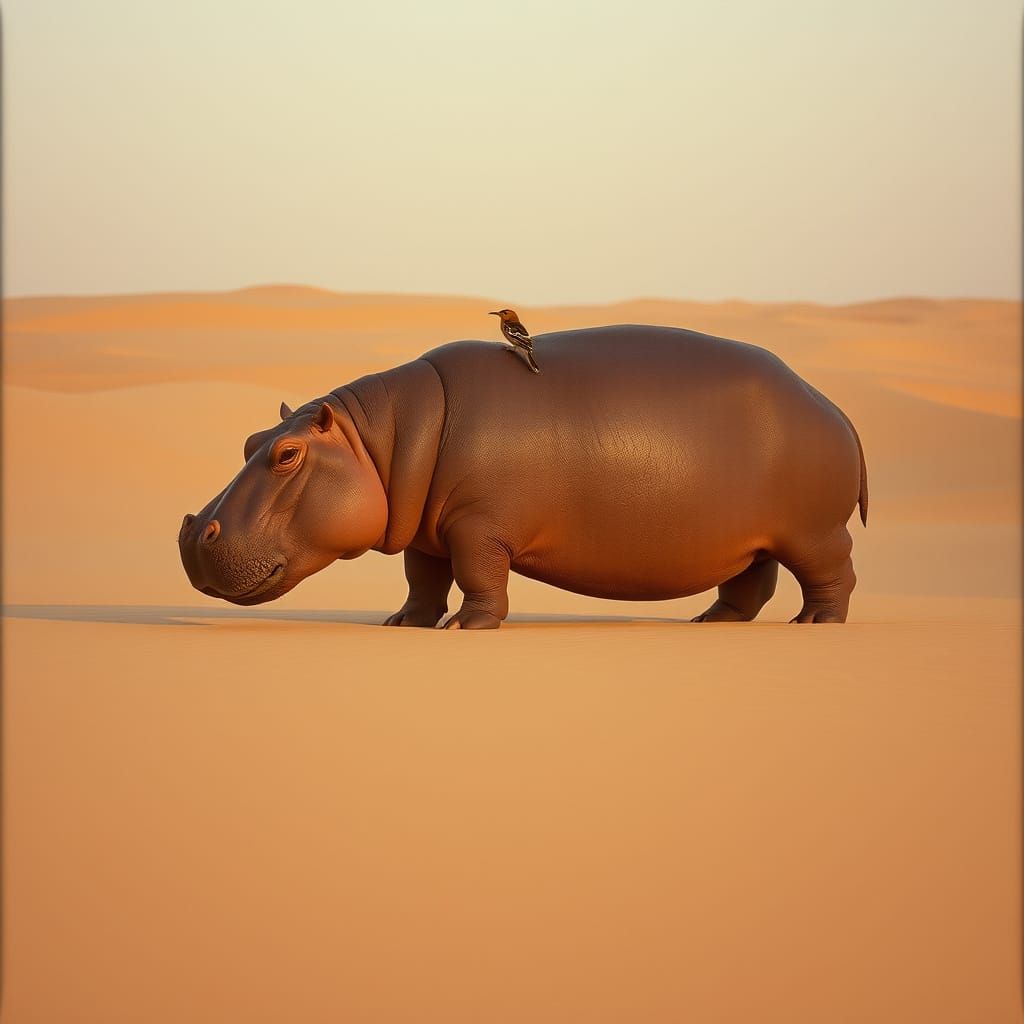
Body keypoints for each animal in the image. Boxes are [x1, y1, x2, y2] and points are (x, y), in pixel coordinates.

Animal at [179, 325, 868, 627]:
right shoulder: (429, 530)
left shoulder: (478, 526)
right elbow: (422, 579)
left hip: (813, 531)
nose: (191, 533)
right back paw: (713, 622)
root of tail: (835, 407)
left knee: (834, 574)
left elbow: (479, 575)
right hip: (754, 536)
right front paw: (406, 623)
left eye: (286, 454)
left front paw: (467, 627)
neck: (382, 441)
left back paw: (816, 624)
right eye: (250, 440)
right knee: (752, 581)